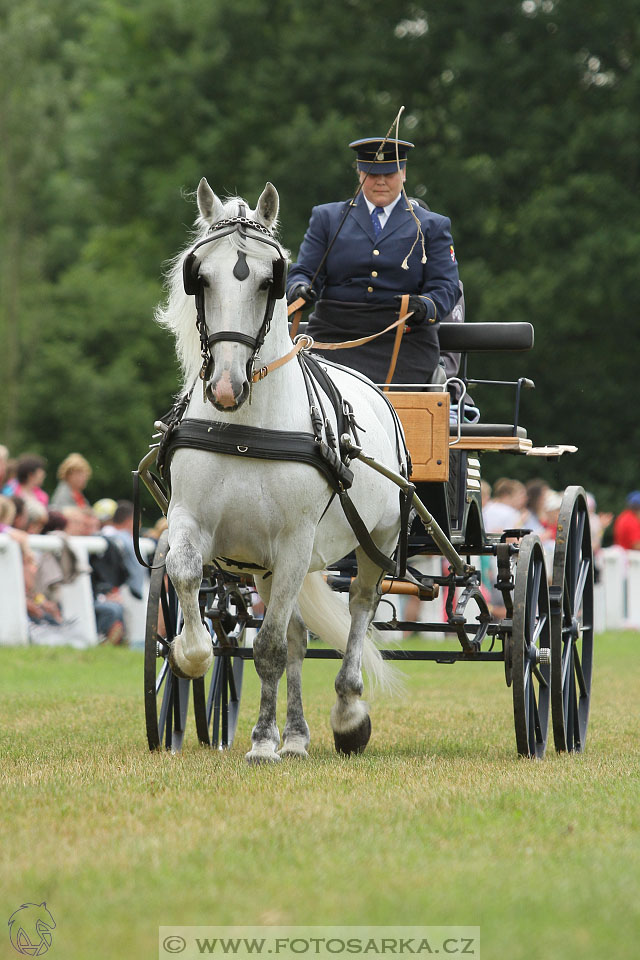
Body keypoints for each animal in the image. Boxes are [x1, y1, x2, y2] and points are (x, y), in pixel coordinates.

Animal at [156, 182, 404, 764]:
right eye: (199, 277)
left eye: (269, 280)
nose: (226, 387)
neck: (244, 428)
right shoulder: (191, 520)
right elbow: (186, 576)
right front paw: (188, 655)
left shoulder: (295, 540)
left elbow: (266, 646)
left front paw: (263, 743)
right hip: (268, 564)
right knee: (295, 635)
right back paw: (293, 735)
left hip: (374, 541)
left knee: (358, 608)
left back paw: (347, 715)